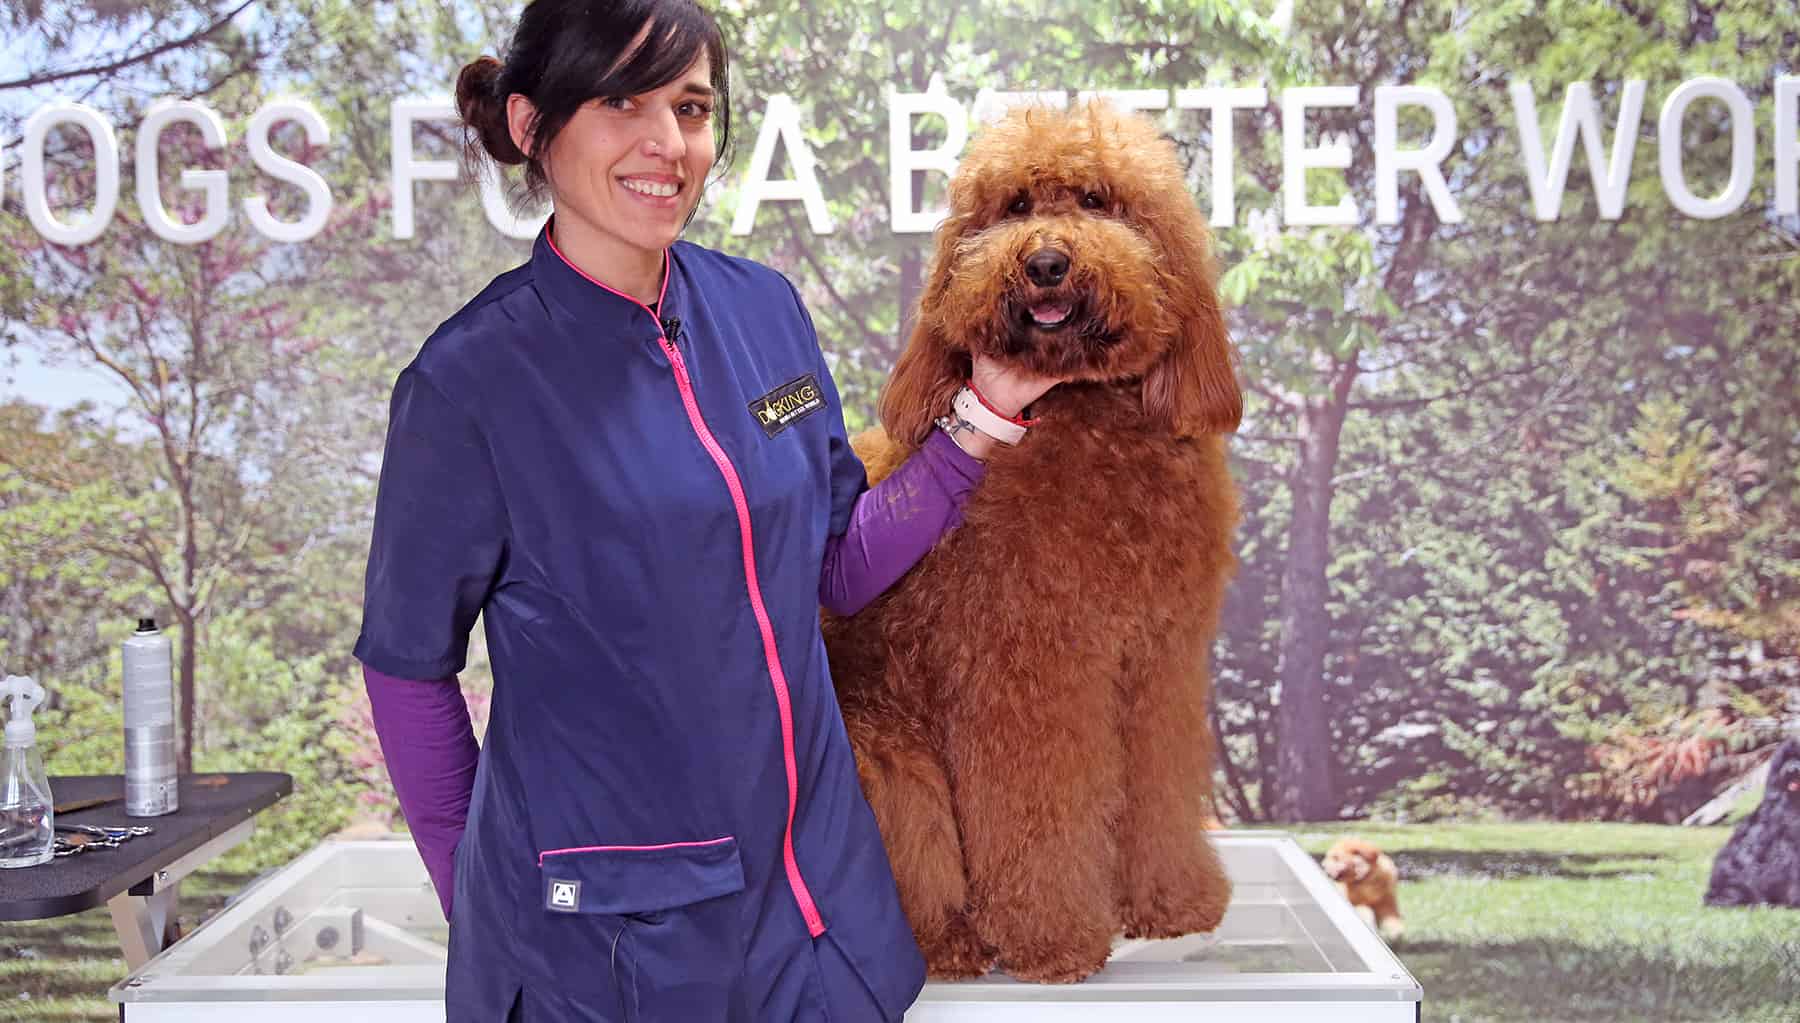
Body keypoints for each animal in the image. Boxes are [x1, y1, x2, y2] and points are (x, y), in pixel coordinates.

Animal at [824, 101, 1245, 979]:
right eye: (1015, 205)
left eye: (1096, 199)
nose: (1047, 262)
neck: (1088, 413)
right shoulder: (1031, 672)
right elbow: (1038, 813)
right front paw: (1052, 937)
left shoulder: (1157, 660)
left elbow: (1156, 788)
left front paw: (1171, 901)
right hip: (891, 763)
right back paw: (953, 943)